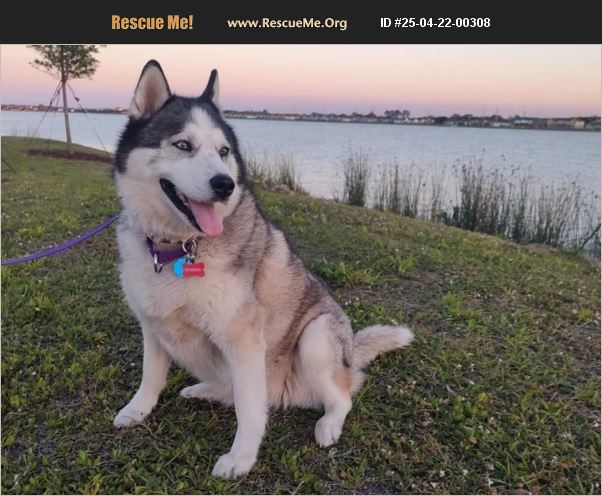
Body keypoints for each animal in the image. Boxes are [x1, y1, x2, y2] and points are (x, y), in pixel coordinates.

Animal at [112, 60, 413, 479]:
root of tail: (351, 351)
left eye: (224, 151)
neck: (179, 248)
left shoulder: (243, 340)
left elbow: (250, 409)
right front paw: (137, 410)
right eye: (183, 145)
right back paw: (202, 390)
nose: (224, 184)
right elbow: (150, 376)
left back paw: (328, 425)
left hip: (316, 338)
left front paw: (240, 458)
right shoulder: (153, 323)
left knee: (341, 396)